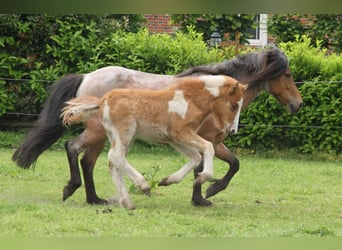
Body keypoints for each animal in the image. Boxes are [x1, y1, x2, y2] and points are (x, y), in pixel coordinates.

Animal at [62, 74, 246, 209]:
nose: (231, 131)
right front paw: (203, 178)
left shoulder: (174, 138)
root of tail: (102, 101)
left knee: (114, 163)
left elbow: (195, 157)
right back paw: (143, 186)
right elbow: (208, 148)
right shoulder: (181, 132)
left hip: (120, 137)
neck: (190, 100)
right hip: (124, 133)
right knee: (115, 156)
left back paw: (127, 202)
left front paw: (168, 181)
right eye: (233, 106)